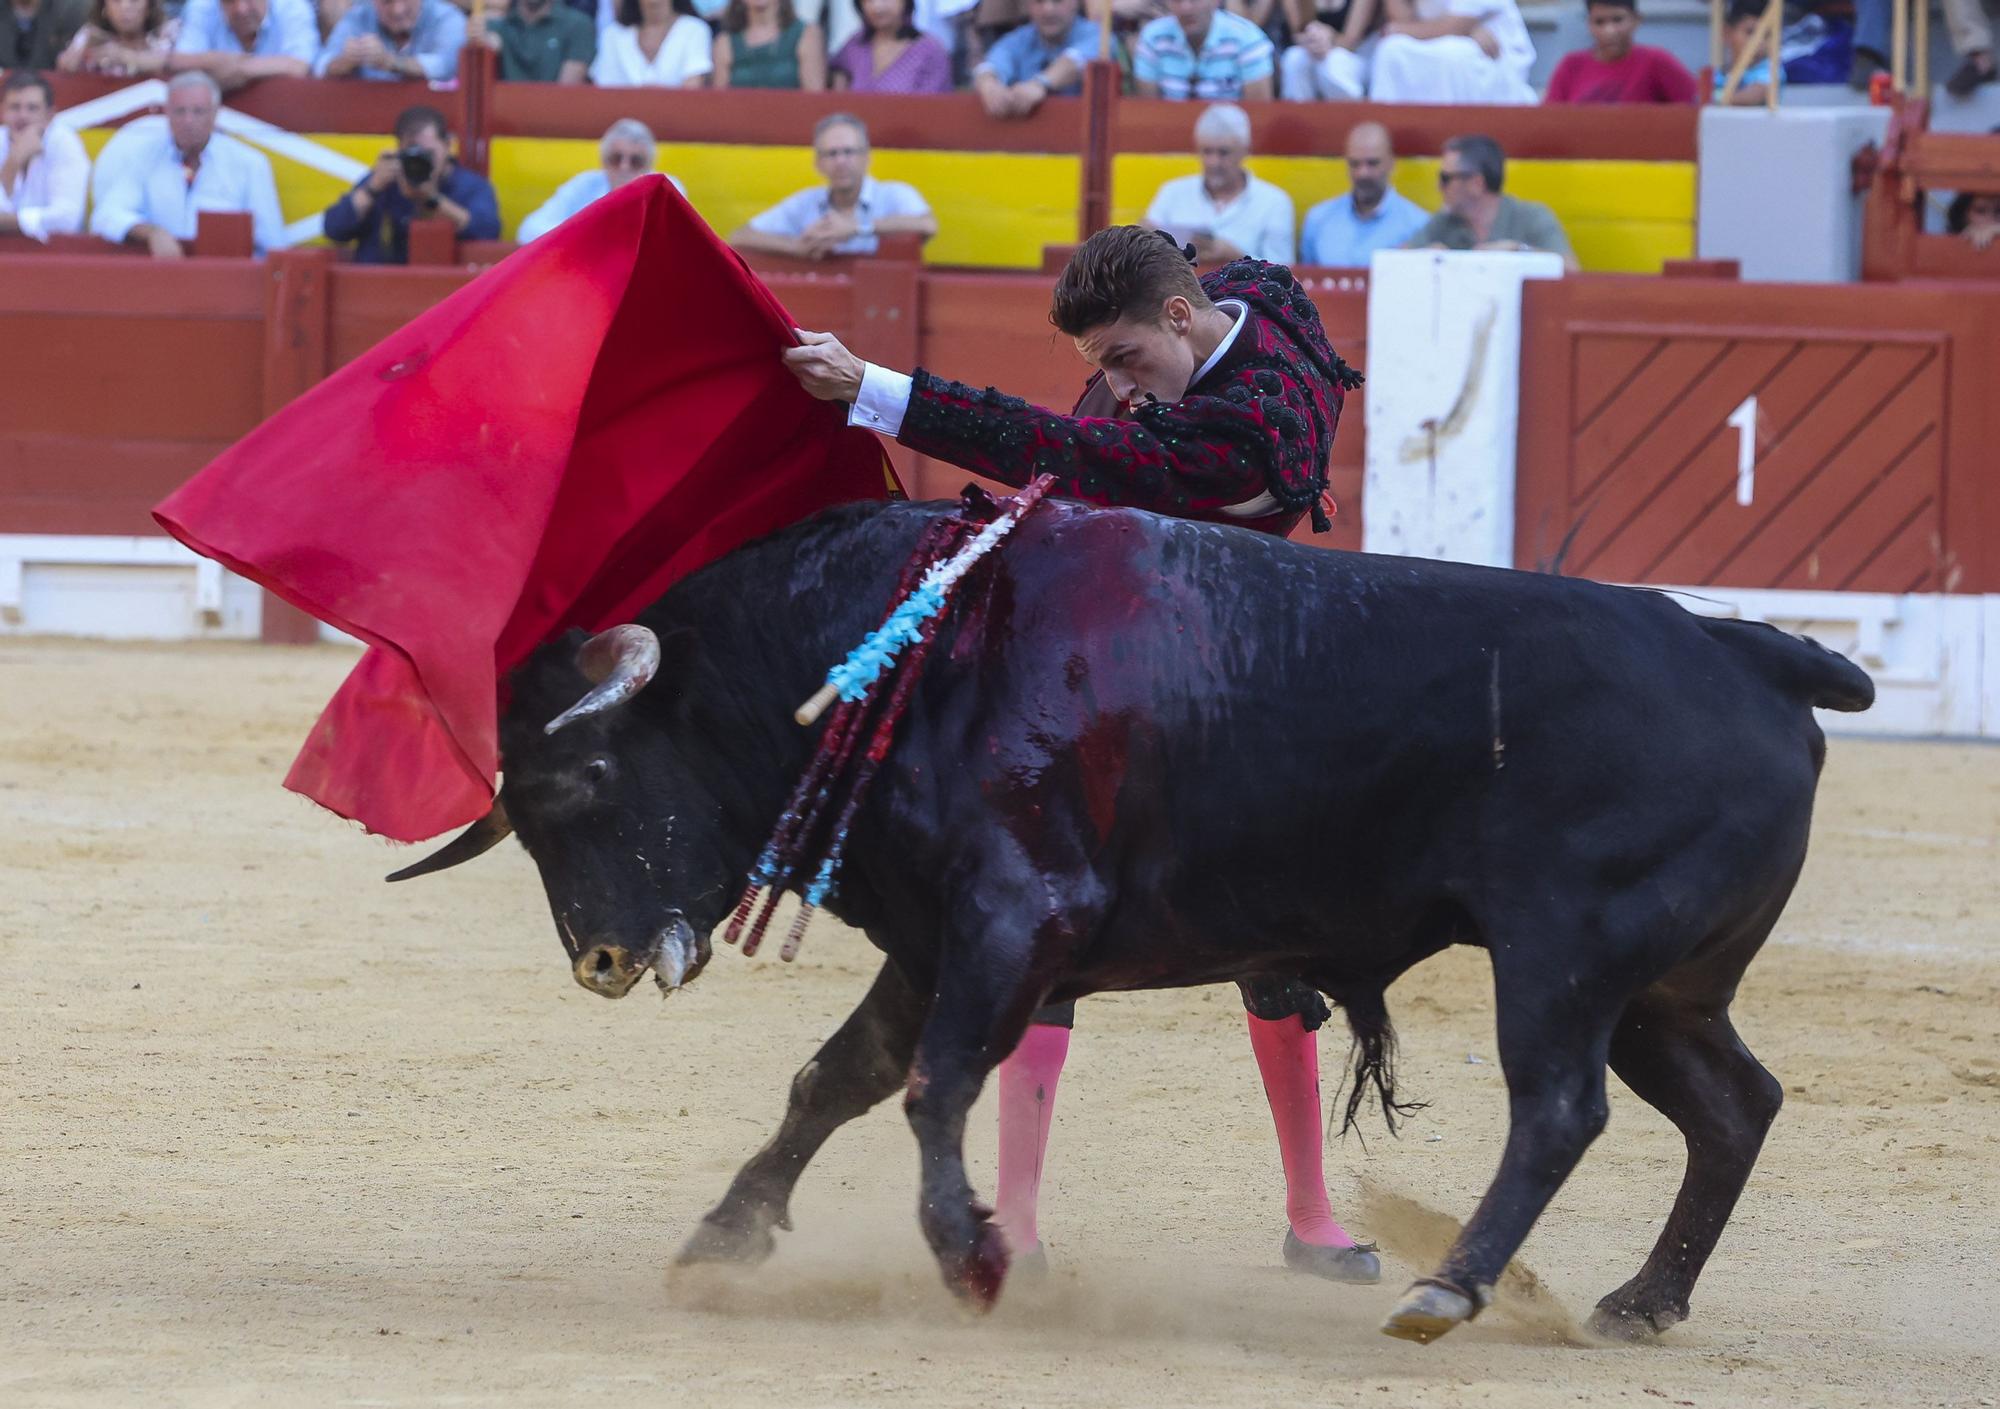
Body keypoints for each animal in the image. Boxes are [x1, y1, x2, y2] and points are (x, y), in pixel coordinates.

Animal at [390, 496, 1872, 1344]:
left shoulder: (1014, 918)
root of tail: (1749, 648)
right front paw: (726, 1236)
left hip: (1563, 961)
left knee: (1560, 1110)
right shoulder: (933, 939)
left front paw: (973, 1254)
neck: (909, 655)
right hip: (1661, 990)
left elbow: (936, 1084)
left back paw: (1445, 1287)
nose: (598, 959)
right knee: (1734, 1102)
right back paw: (1640, 1301)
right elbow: (840, 1079)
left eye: (581, 778)